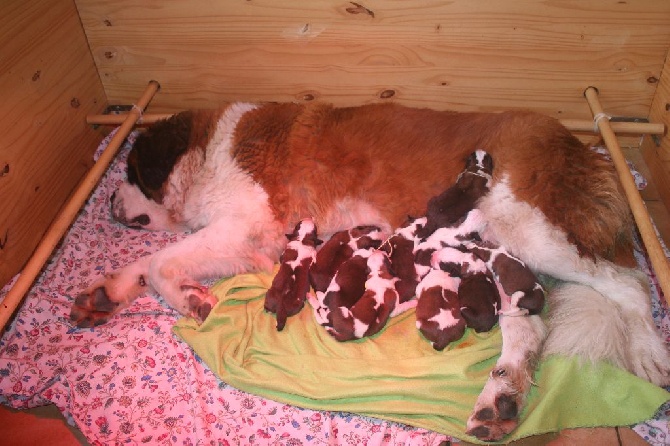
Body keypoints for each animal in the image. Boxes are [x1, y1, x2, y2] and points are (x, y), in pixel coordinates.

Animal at [69, 103, 670, 440]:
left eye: (129, 171)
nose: (109, 205)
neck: (210, 150)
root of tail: (579, 145)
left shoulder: (242, 223)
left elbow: (161, 262)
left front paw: (191, 299)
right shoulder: (246, 239)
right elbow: (151, 261)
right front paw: (108, 290)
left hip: (531, 229)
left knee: (630, 282)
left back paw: (647, 350)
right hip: (506, 255)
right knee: (531, 326)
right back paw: (502, 398)